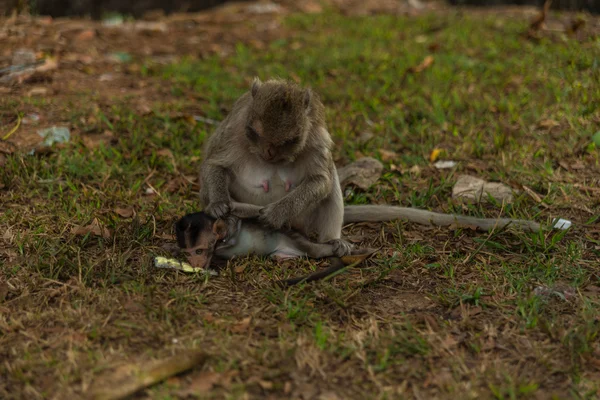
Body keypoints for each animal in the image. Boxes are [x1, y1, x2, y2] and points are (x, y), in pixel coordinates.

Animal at [198, 78, 352, 258]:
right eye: (256, 133)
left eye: (289, 141)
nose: (269, 152)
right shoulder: (233, 129)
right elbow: (215, 164)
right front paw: (219, 203)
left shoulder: (317, 138)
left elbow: (320, 180)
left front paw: (278, 213)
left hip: (303, 220)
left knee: (331, 178)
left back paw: (332, 240)